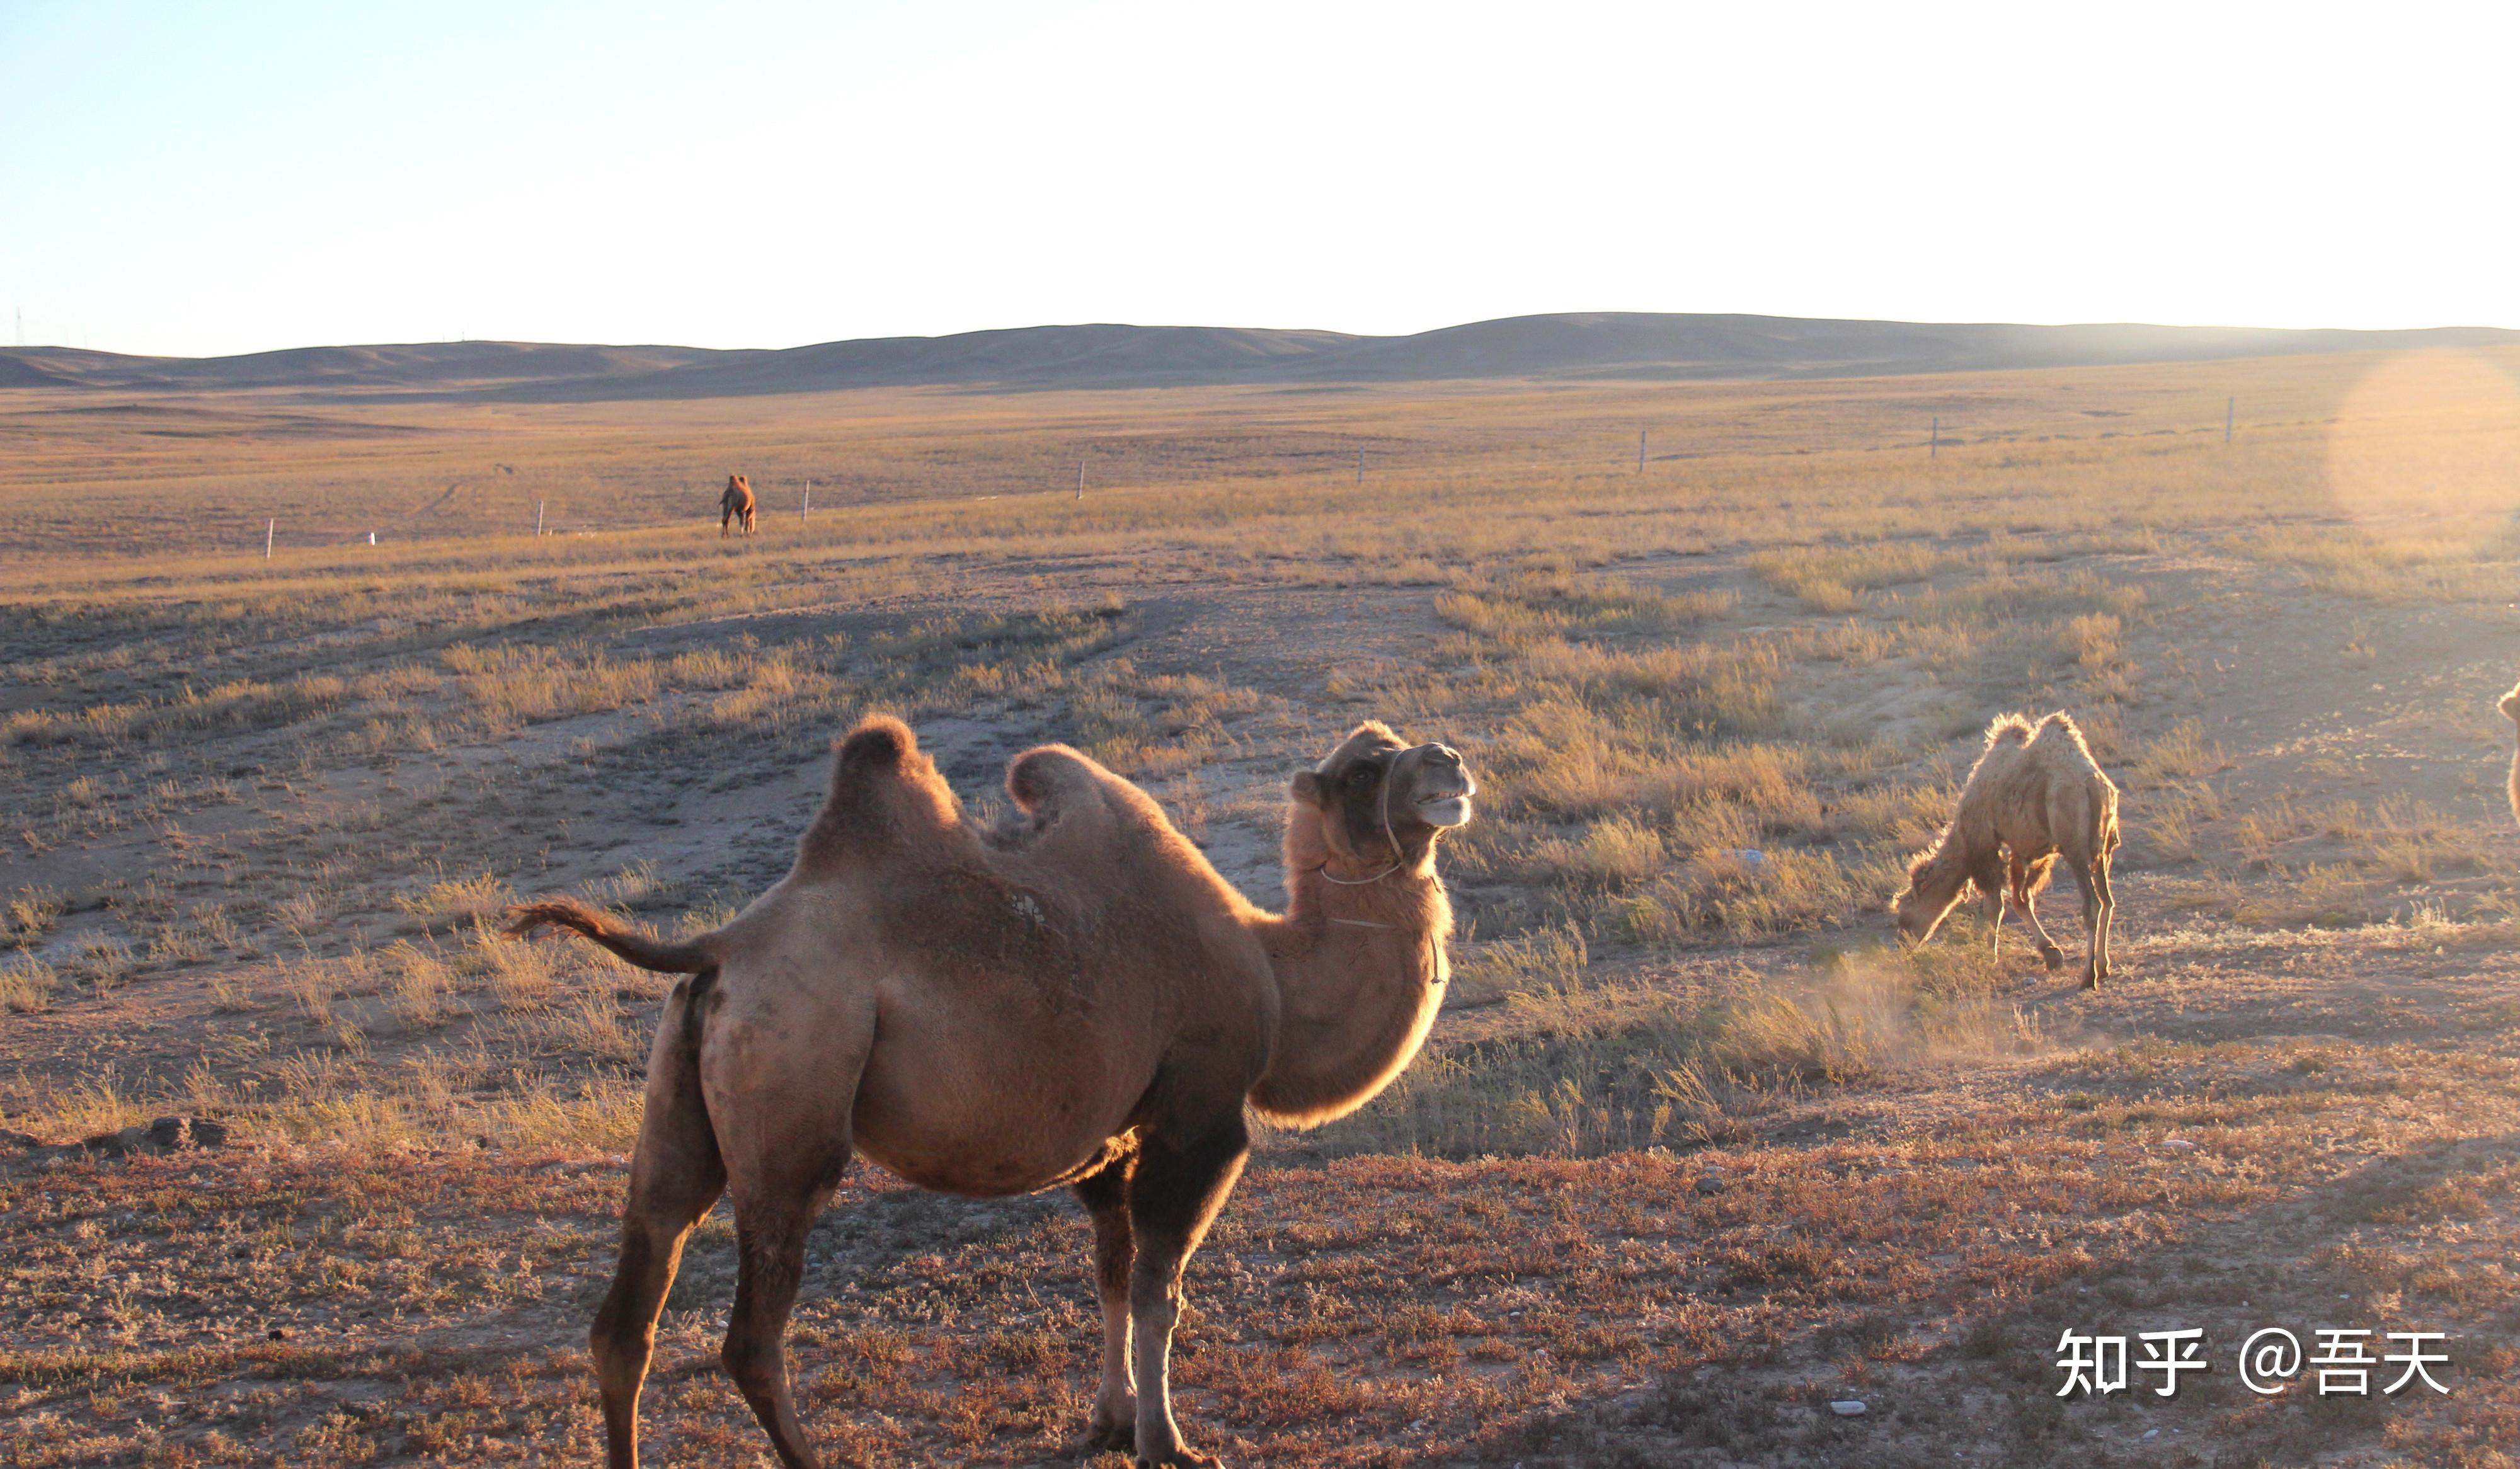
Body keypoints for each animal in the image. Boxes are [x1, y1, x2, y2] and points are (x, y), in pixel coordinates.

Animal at [499, 716, 1472, 1469]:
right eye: (1363, 770)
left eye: (1394, 743)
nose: (1452, 763)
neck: (1275, 976)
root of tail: (725, 945)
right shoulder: (1197, 1119)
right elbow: (1159, 1290)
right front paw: (1169, 1442)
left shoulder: (1112, 1137)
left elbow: (1111, 1273)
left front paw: (1112, 1420)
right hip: (792, 1095)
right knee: (751, 1338)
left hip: (682, 1097)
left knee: (628, 1314)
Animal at [1895, 711, 2117, 988]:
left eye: (1904, 915)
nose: (1903, 943)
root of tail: (2091, 784)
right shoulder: (2026, 849)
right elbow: (2022, 900)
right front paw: (2051, 953)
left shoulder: (1985, 842)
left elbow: (1995, 905)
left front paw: (1989, 957)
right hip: (2102, 848)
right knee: (2107, 900)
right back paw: (2103, 966)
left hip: (2073, 845)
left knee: (2092, 905)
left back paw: (2088, 976)